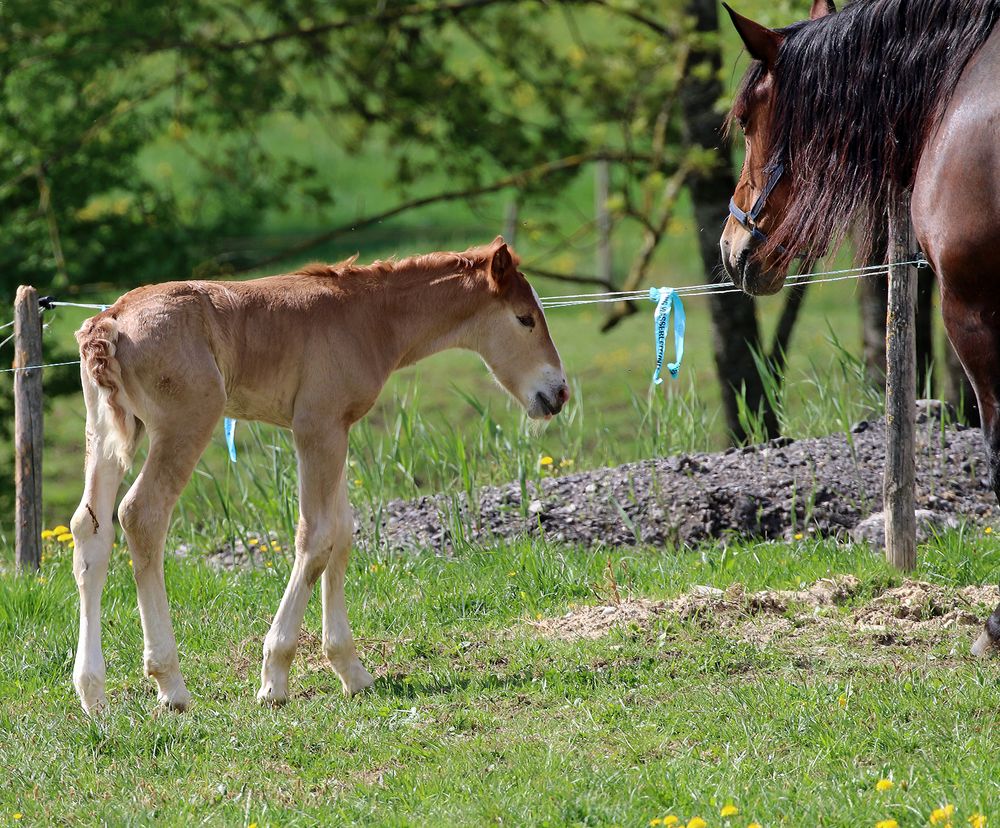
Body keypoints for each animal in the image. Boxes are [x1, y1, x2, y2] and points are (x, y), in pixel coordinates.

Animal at [68, 238, 572, 712]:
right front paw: (274, 678)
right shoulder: (317, 427)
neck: (365, 317)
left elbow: (342, 535)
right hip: (186, 424)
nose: (560, 393)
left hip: (106, 432)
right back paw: (170, 684)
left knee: (89, 528)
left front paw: (352, 671)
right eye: (525, 319)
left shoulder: (337, 431)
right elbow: (316, 539)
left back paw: (92, 693)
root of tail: (110, 321)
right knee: (142, 515)